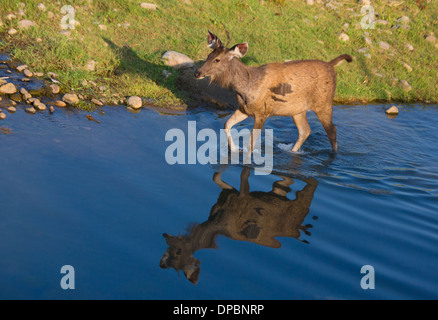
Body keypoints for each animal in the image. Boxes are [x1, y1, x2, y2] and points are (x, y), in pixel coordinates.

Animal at [195, 31, 352, 154]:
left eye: (217, 59)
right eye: (208, 55)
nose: (197, 72)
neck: (245, 88)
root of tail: (331, 65)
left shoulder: (262, 112)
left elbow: (251, 144)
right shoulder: (245, 109)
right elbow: (226, 125)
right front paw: (233, 150)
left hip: (324, 103)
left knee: (332, 130)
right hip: (297, 109)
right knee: (305, 130)